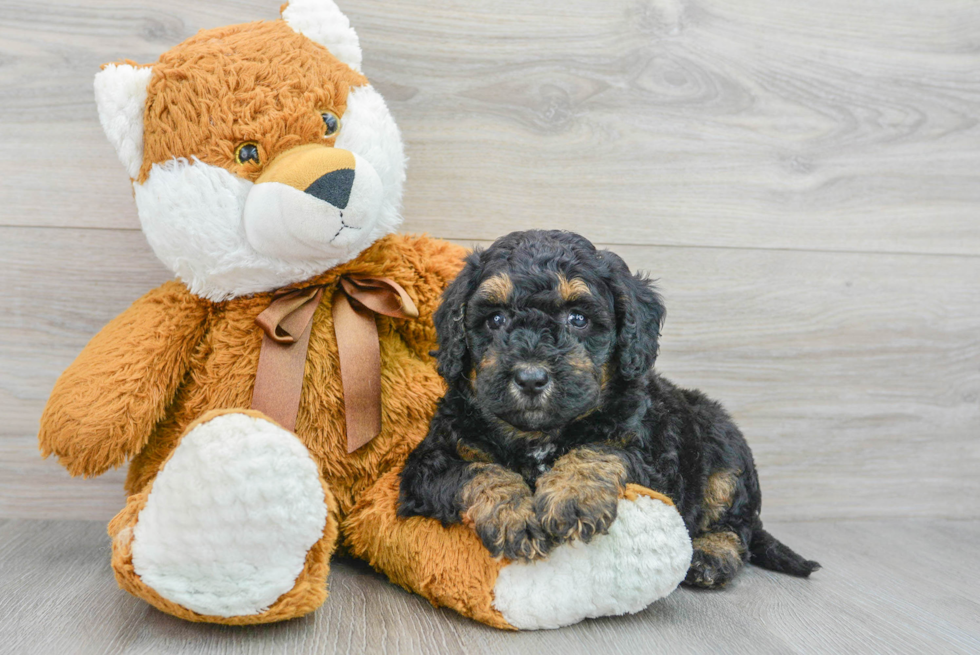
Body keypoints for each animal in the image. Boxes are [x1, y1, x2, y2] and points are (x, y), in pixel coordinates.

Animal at [398, 232, 820, 588]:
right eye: (495, 319)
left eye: (578, 318)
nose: (531, 377)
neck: (538, 435)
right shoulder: (427, 464)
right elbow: (480, 470)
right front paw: (516, 516)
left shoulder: (652, 459)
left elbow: (599, 450)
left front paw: (572, 496)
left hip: (724, 454)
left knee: (737, 527)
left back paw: (712, 556)